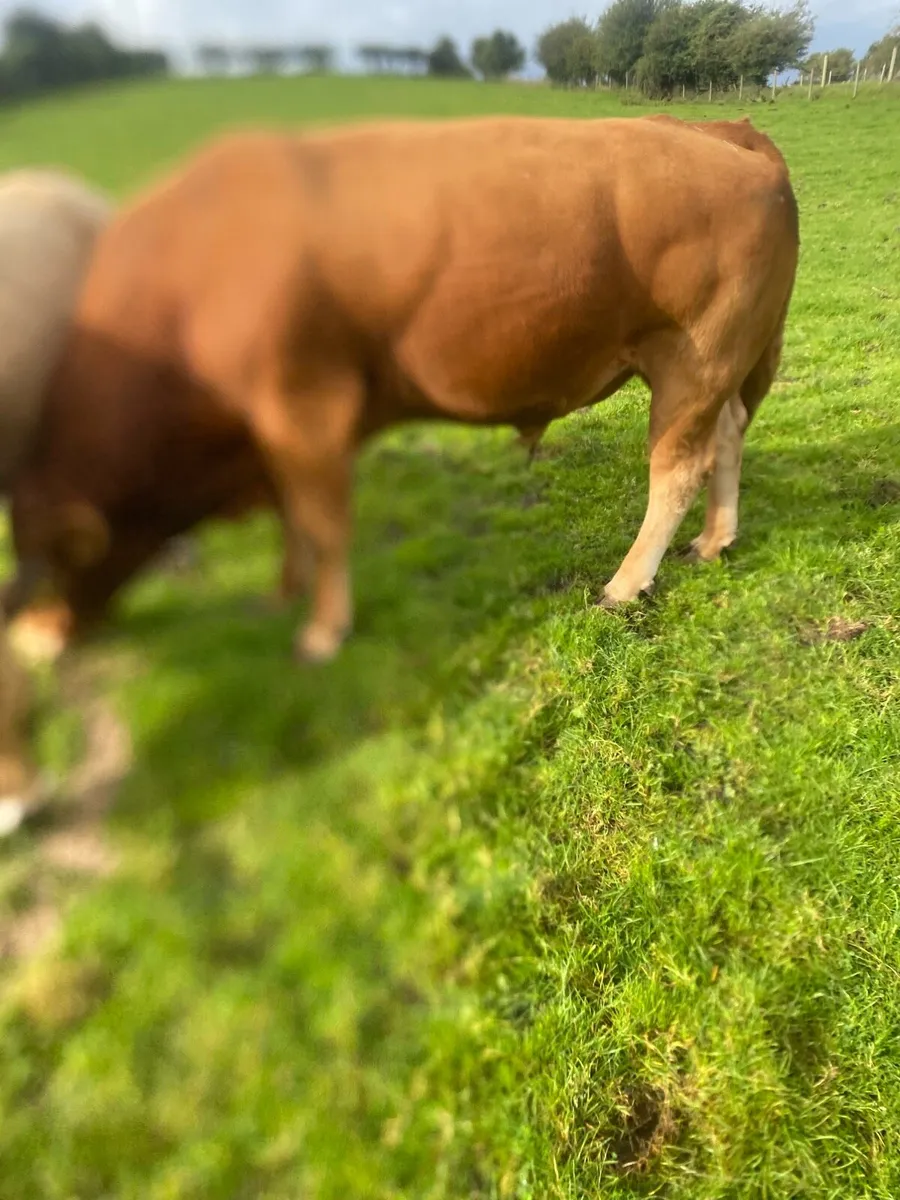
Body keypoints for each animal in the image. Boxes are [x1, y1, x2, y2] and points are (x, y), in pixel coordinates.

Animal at [2, 114, 799, 663]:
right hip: (722, 367)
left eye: (51, 563)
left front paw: (323, 630)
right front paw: (282, 592)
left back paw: (627, 582)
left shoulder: (306, 409)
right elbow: (294, 517)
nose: (34, 642)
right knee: (729, 433)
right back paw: (715, 540)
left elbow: (323, 522)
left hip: (693, 360)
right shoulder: (275, 431)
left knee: (677, 468)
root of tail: (723, 133)